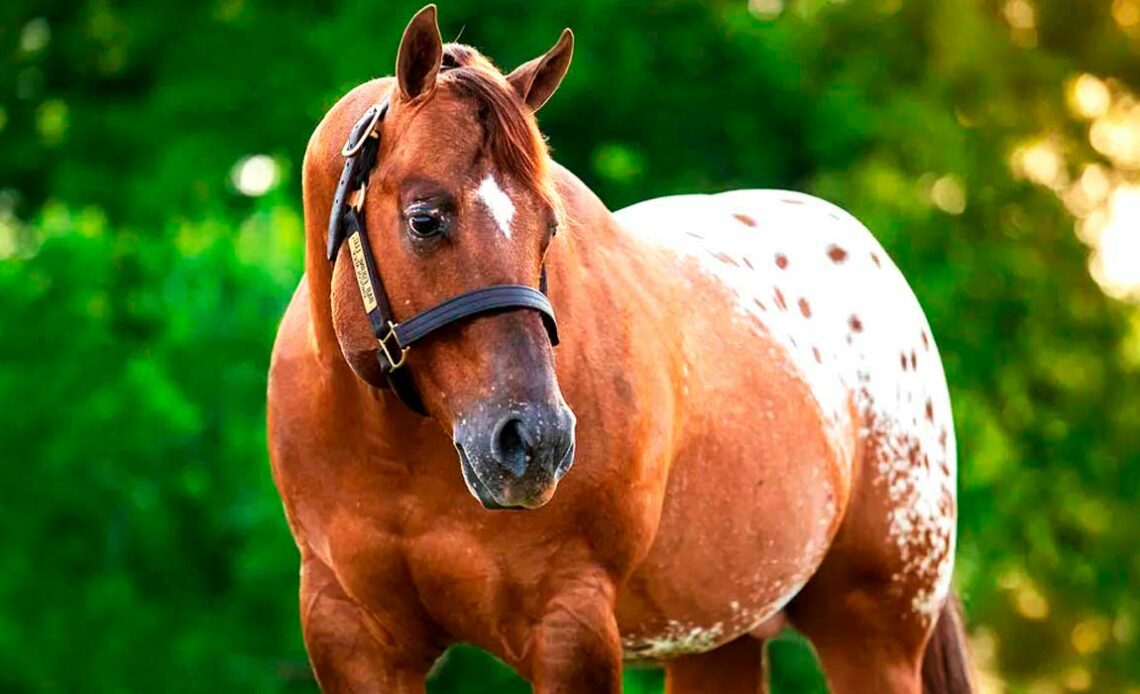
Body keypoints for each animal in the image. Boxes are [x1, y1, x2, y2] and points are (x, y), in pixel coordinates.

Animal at [266, 6, 971, 692]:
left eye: (549, 226)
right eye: (424, 218)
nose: (536, 443)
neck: (398, 454)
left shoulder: (569, 626)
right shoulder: (349, 636)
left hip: (872, 634)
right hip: (717, 640)